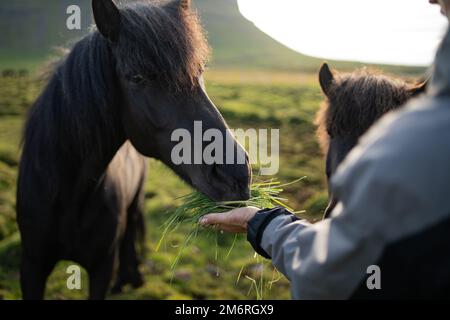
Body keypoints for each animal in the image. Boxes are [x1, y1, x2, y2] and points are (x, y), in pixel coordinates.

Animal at [16, 0, 250, 300]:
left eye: (199, 71)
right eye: (137, 78)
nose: (237, 176)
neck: (69, 193)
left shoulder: (101, 267)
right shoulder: (32, 266)